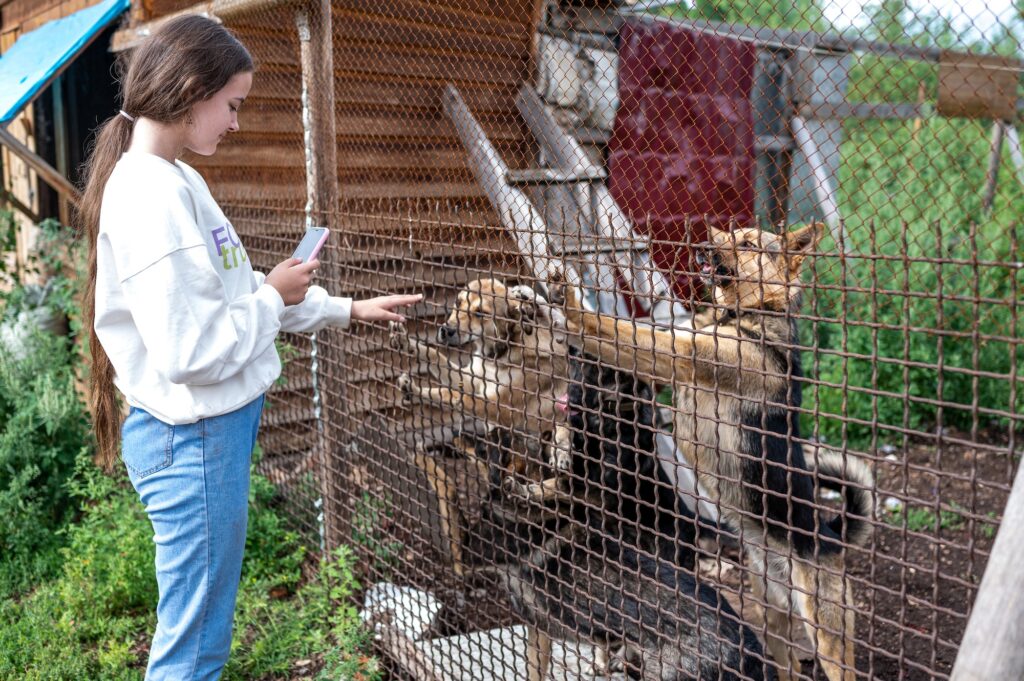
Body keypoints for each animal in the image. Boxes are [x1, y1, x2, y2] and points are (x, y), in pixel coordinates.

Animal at [552, 223, 872, 679]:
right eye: (730, 234)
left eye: (749, 244)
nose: (702, 244)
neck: (741, 315)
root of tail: (829, 538)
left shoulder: (678, 355)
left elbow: (620, 330)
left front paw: (573, 306)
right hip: (772, 615)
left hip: (828, 639)